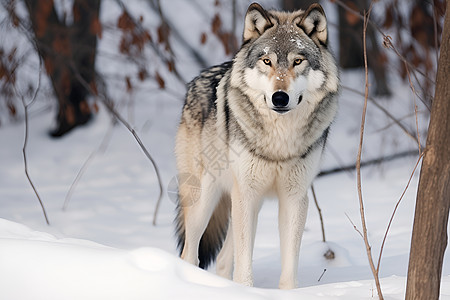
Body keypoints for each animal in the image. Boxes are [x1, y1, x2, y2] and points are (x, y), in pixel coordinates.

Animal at [174, 1, 340, 288]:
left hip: (248, 202)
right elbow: (244, 267)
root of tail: (195, 81)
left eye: (298, 61)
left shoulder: (294, 197)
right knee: (190, 255)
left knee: (223, 260)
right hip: (206, 199)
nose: (280, 97)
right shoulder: (246, 193)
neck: (279, 142)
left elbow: (289, 266)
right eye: (267, 61)